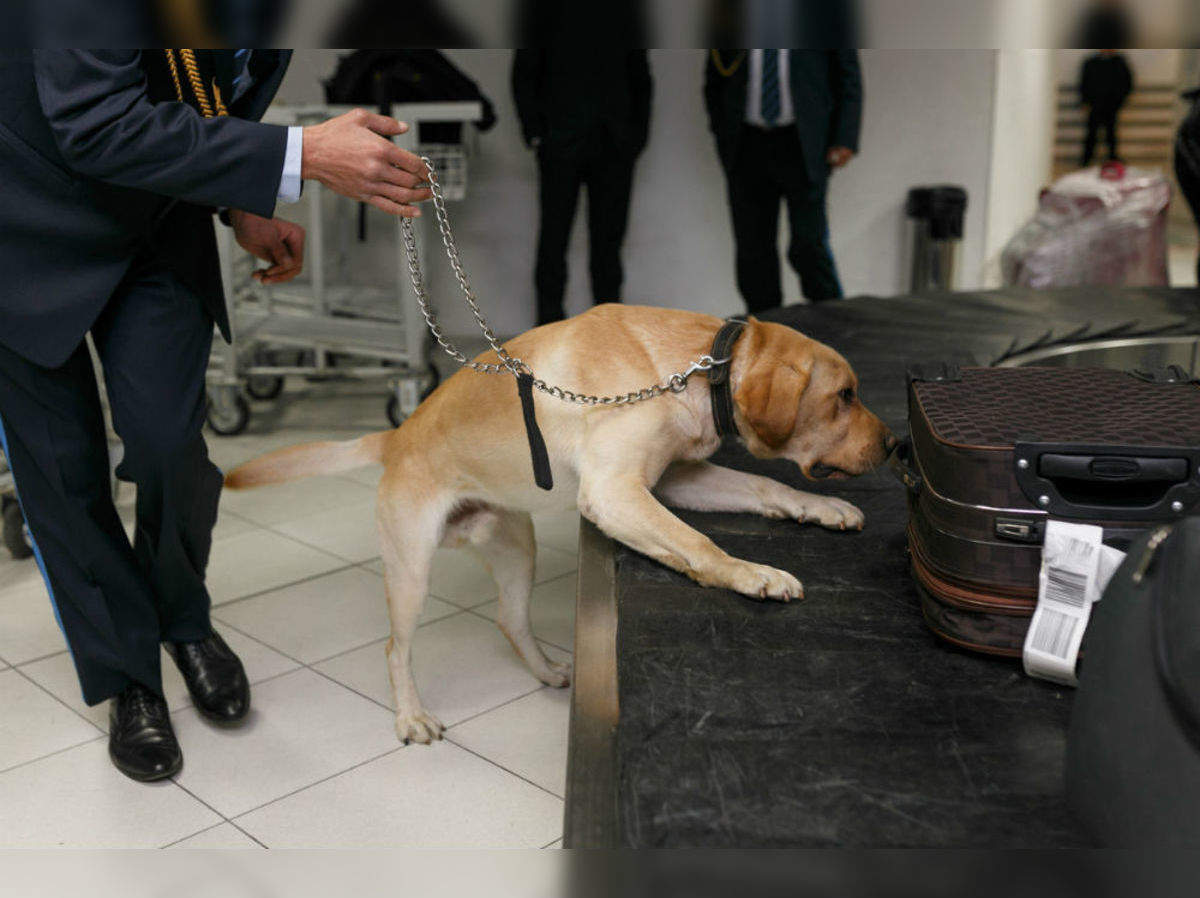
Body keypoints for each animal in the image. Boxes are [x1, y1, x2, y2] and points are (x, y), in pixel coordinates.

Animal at [229, 303, 897, 744]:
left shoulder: (673, 480)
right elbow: (697, 543)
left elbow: (764, 487)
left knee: (510, 619)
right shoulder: (616, 493)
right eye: (844, 396)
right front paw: (753, 574)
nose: (895, 445)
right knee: (396, 648)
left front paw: (823, 508)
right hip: (411, 572)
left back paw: (547, 669)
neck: (693, 366)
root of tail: (397, 436)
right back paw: (411, 715)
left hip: (515, 547)